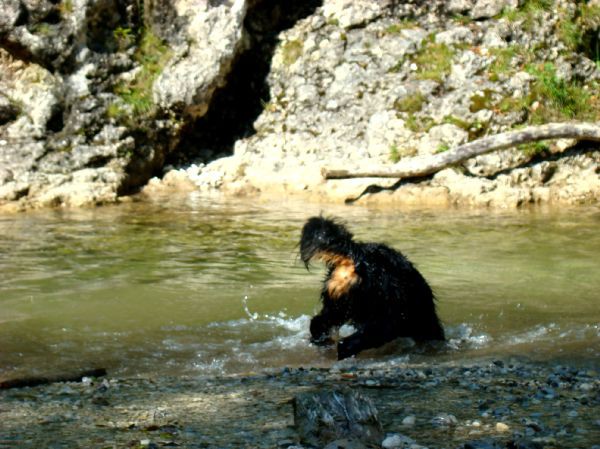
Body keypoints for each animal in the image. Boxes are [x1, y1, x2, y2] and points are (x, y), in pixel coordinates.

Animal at [300, 215, 446, 358]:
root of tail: (358, 256)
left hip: (338, 305)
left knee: (318, 324)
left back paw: (322, 344)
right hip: (382, 318)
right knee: (348, 343)